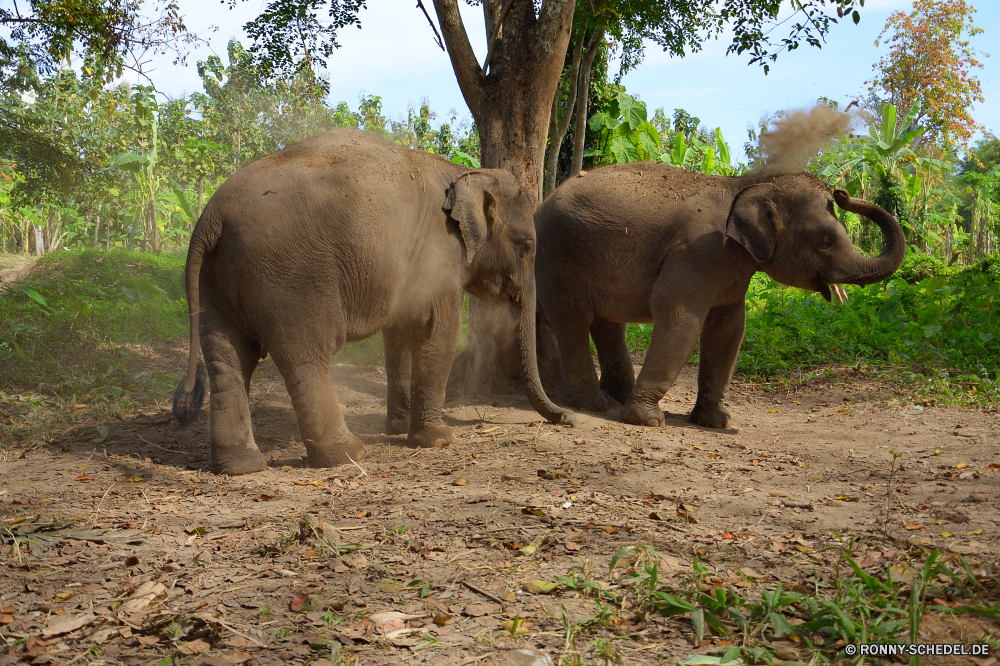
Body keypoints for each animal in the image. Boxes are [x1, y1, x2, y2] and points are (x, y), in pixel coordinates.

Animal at [173, 127, 576, 474]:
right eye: (526, 246)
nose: (567, 418)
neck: (464, 172)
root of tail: (211, 218)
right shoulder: (437, 252)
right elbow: (439, 332)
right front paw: (439, 440)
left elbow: (399, 334)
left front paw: (398, 429)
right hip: (290, 279)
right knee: (306, 358)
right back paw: (348, 453)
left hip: (215, 282)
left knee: (228, 360)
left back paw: (241, 467)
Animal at [540, 163, 908, 428]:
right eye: (825, 241)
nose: (842, 192)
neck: (748, 184)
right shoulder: (697, 252)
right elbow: (680, 318)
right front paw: (647, 420)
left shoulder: (731, 266)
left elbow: (729, 328)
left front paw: (716, 421)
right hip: (559, 254)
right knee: (573, 318)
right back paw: (593, 404)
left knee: (607, 323)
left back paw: (616, 397)